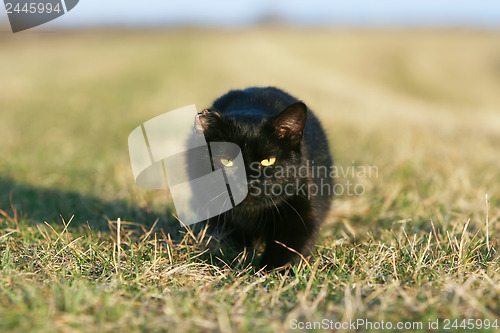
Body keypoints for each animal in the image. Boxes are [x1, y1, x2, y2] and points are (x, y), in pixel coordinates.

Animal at [195, 86, 332, 268]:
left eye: (268, 161)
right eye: (226, 161)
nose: (248, 182)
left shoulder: (301, 214)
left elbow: (287, 251)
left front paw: (272, 272)